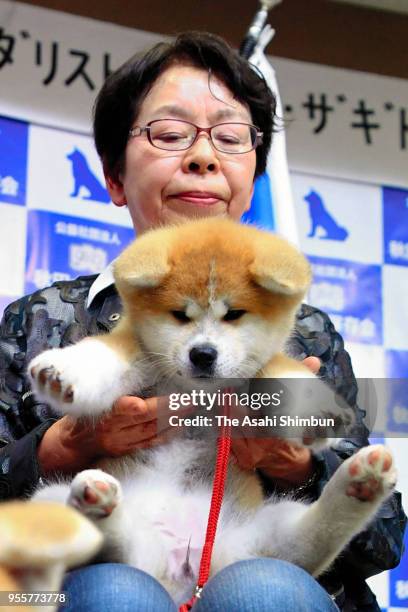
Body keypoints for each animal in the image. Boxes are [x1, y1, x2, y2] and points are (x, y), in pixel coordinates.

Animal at [27, 219, 396, 604]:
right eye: (180, 315)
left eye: (233, 314)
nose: (203, 354)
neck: (198, 390)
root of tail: (180, 571)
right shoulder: (135, 347)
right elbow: (102, 353)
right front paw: (60, 373)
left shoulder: (264, 366)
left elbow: (289, 377)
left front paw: (318, 412)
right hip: (49, 501)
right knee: (110, 549)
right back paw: (97, 503)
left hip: (261, 536)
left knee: (309, 543)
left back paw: (362, 482)